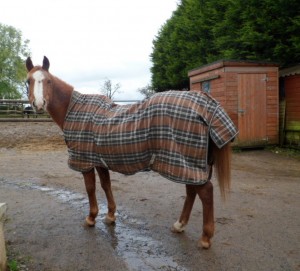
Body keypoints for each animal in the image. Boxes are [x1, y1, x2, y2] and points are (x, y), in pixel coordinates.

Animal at [25, 56, 237, 250]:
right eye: (28, 81)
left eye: (48, 81)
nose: (39, 103)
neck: (74, 109)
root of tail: (204, 102)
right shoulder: (100, 160)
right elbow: (106, 186)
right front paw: (110, 216)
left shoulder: (85, 162)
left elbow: (91, 188)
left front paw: (91, 217)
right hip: (188, 164)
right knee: (192, 190)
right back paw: (179, 225)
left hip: (186, 162)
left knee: (205, 192)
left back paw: (205, 238)